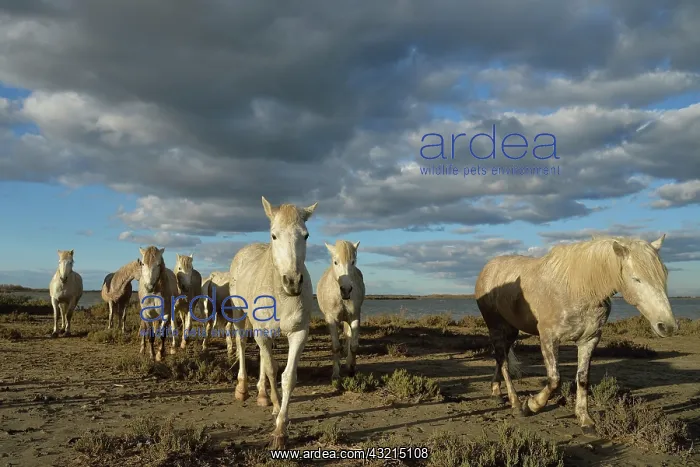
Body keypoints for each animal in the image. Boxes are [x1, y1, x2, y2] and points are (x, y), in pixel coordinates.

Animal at [228, 196, 318, 449]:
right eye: (274, 235)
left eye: (306, 235)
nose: (293, 282)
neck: (281, 295)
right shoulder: (262, 332)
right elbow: (270, 368)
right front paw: (276, 408)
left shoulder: (299, 334)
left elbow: (287, 377)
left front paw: (280, 428)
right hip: (240, 315)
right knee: (242, 344)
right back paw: (243, 389)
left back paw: (261, 394)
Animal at [317, 240, 366, 380]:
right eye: (335, 262)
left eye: (353, 262)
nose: (346, 290)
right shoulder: (332, 321)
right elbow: (336, 347)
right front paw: (335, 374)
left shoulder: (354, 317)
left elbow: (354, 346)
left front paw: (351, 369)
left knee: (348, 337)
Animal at [474, 234, 678, 434]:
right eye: (636, 279)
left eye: (665, 275)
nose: (667, 326)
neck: (577, 288)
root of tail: (487, 268)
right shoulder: (549, 338)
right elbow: (554, 379)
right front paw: (531, 405)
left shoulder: (589, 340)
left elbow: (582, 378)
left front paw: (585, 420)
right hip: (496, 326)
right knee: (503, 362)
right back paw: (516, 403)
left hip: (511, 330)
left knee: (500, 358)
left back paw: (496, 392)